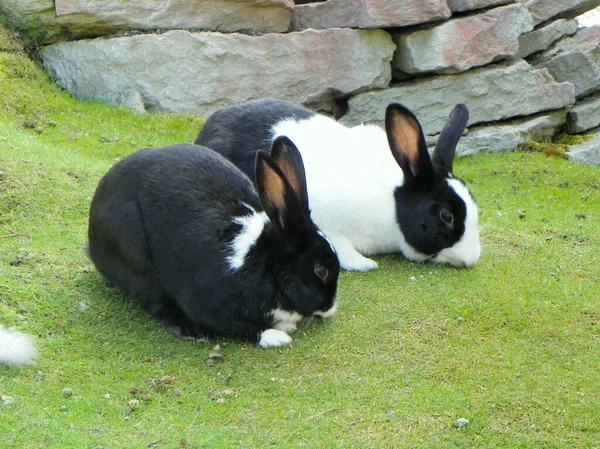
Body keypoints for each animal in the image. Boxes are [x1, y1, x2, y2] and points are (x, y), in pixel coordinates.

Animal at [89, 138, 342, 348]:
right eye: (321, 270)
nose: (329, 307)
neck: (265, 263)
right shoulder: (209, 305)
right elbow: (236, 326)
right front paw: (276, 335)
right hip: (138, 260)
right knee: (156, 303)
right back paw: (190, 330)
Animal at [195, 100, 480, 272]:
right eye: (446, 215)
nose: (471, 258)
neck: (391, 205)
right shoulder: (326, 221)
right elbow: (341, 247)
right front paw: (363, 263)